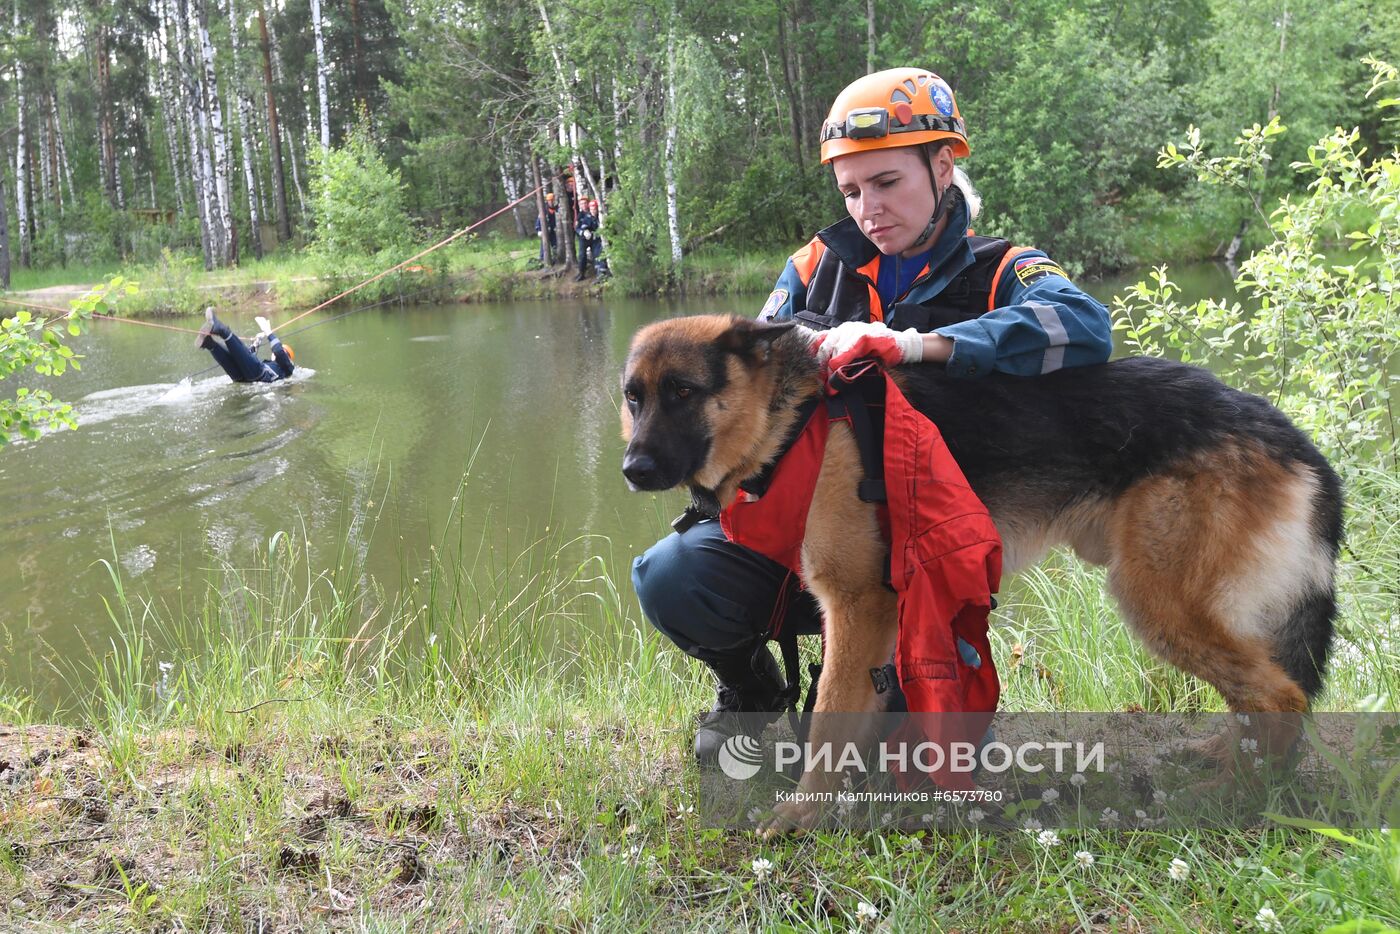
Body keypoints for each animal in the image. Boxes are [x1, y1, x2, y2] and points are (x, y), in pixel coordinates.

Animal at [618, 316, 1338, 834]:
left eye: (683, 392)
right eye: (634, 397)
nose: (632, 469)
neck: (792, 417)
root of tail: (1287, 433)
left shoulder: (856, 604)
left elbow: (827, 717)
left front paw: (803, 813)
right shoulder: (873, 615)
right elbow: (853, 709)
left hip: (1158, 600)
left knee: (1281, 695)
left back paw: (1240, 792)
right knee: (1259, 692)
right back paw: (1225, 757)